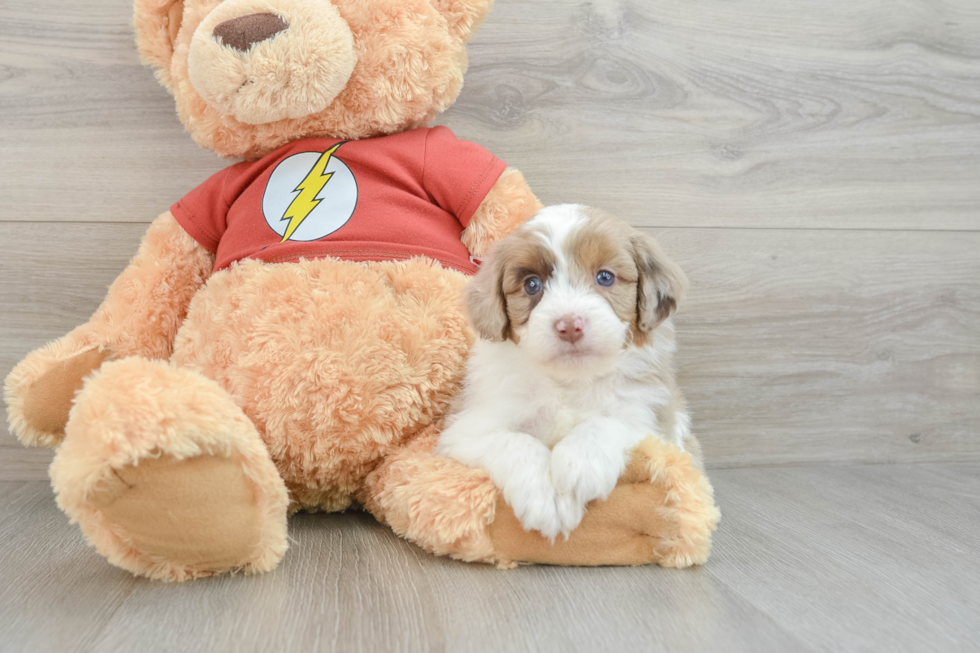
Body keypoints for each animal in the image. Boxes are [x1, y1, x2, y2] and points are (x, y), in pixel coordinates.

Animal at [434, 204, 696, 540]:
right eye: (532, 285)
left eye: (605, 277)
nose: (570, 325)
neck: (570, 381)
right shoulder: (466, 430)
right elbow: (515, 442)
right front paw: (545, 496)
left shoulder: (655, 423)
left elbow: (610, 423)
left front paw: (578, 465)